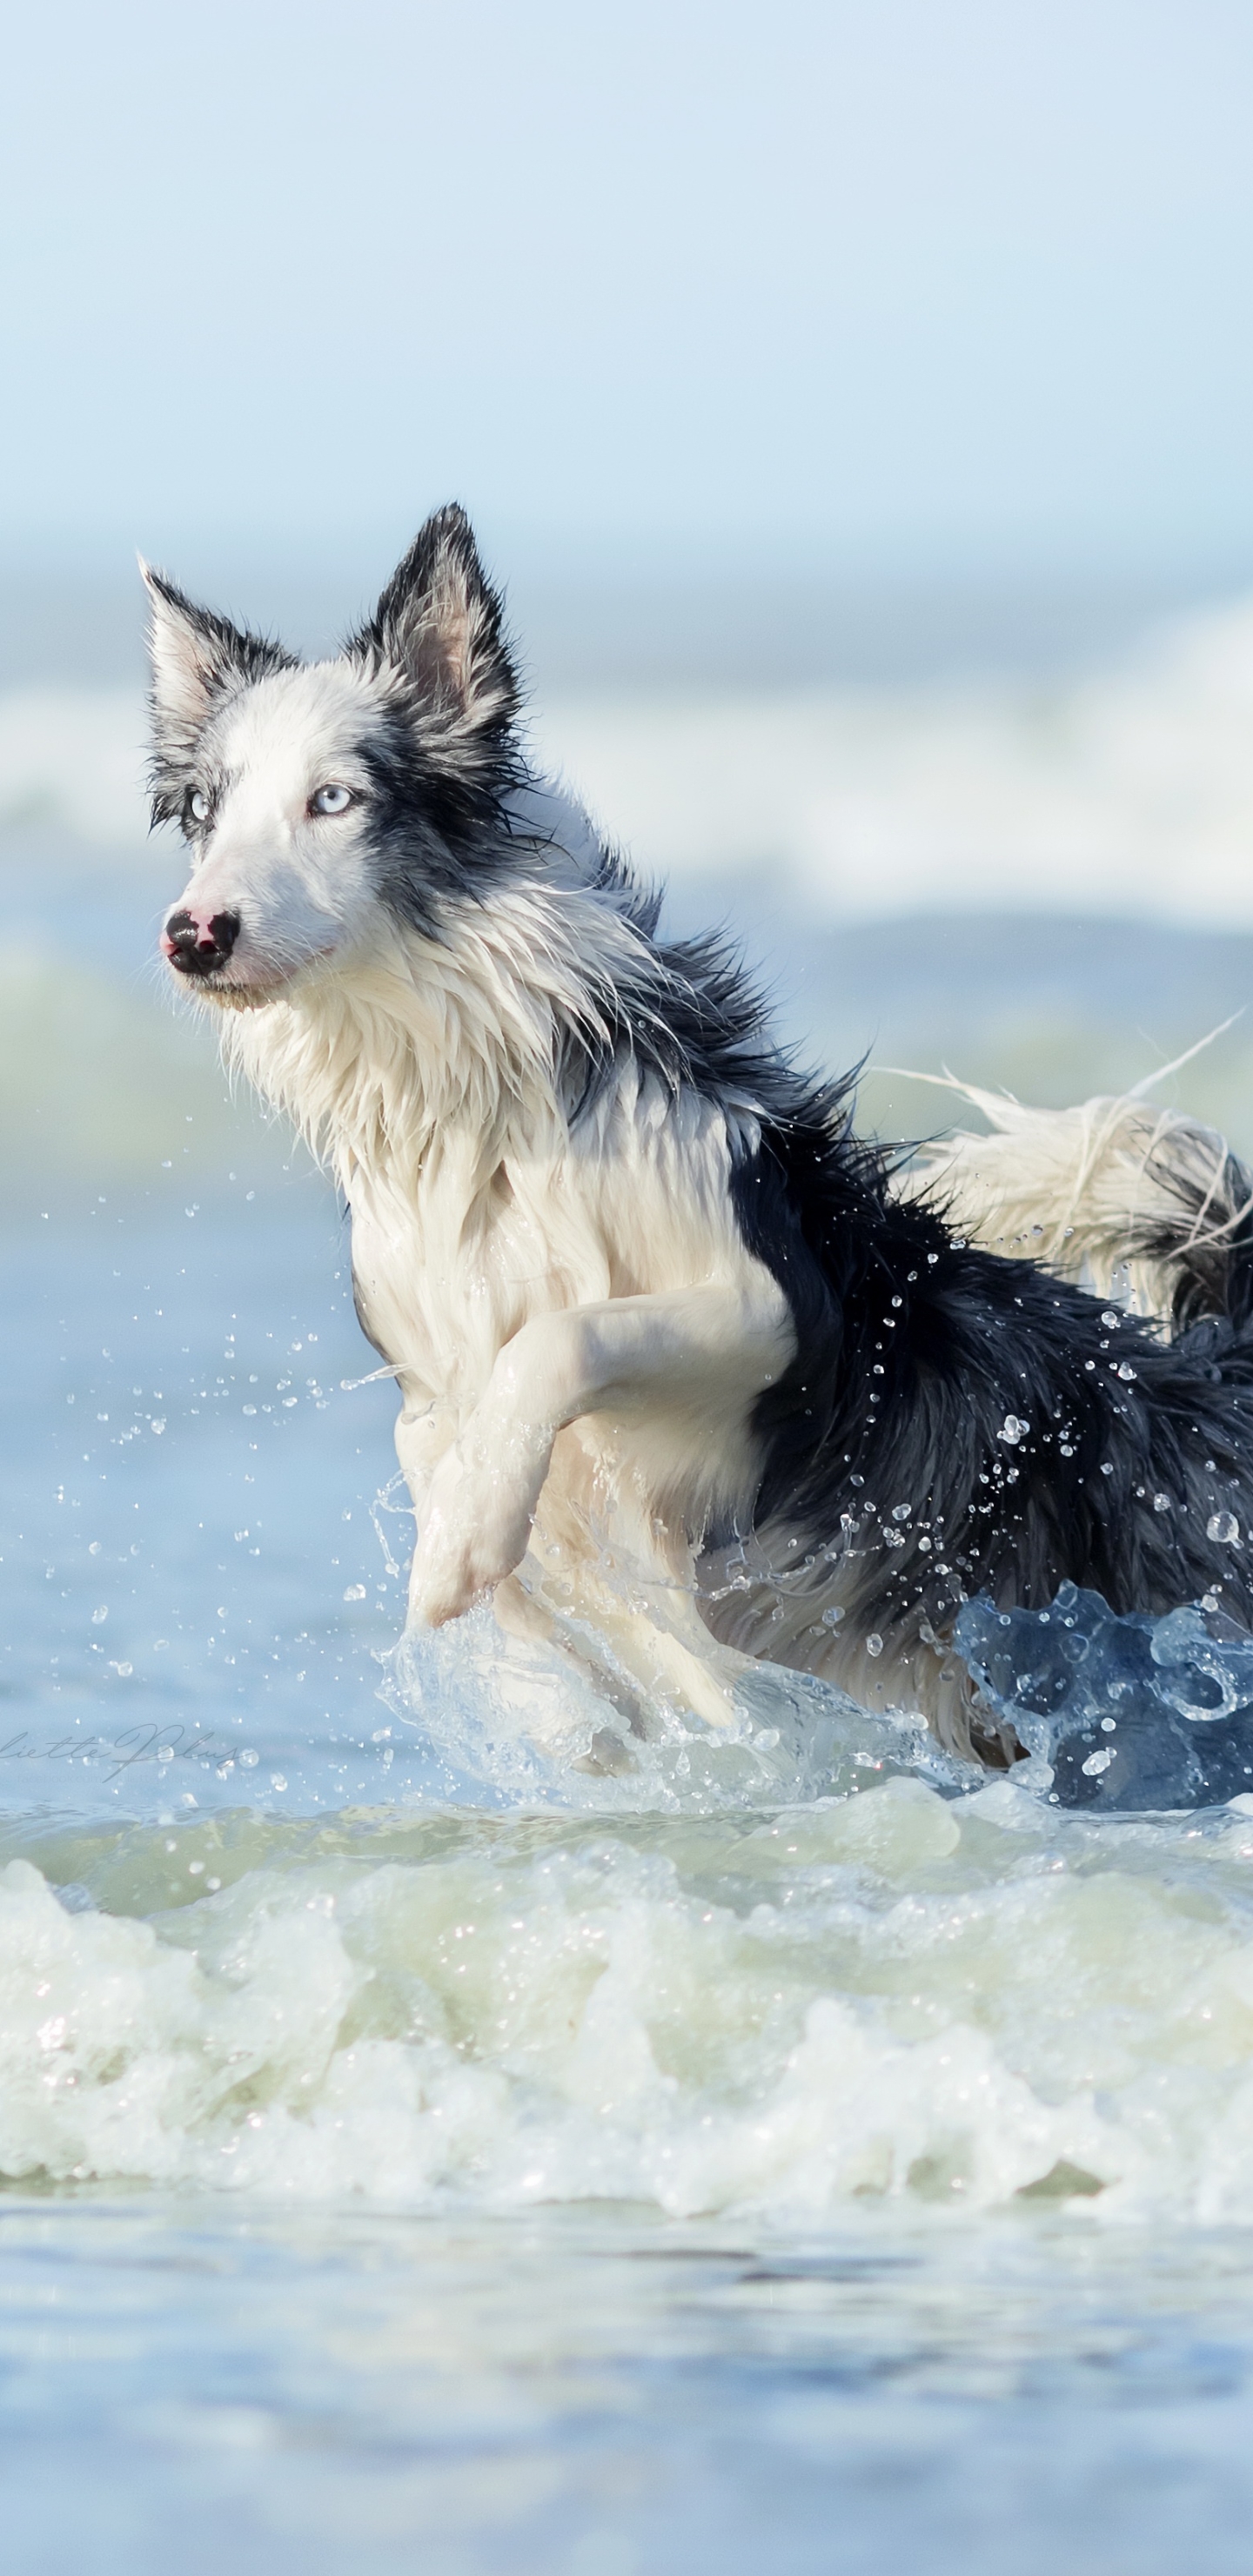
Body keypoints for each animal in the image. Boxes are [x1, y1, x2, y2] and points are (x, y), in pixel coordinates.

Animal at [144, 502, 1253, 1761]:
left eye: (333, 800)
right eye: (206, 813)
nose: (193, 934)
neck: (481, 1117)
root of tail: (1208, 1358)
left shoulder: (767, 1310)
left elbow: (562, 1341)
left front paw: (468, 1545)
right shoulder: (432, 1378)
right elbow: (443, 1466)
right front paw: (524, 1648)